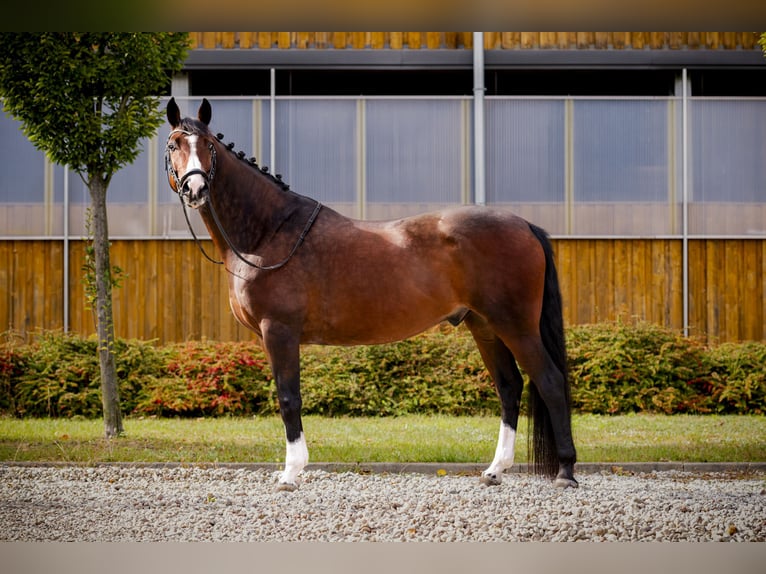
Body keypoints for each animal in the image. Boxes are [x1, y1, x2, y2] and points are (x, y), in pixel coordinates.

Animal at [164, 97, 578, 491]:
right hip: (485, 326)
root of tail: (525, 225)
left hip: (516, 325)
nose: (195, 189)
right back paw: (495, 470)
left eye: (209, 145)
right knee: (510, 387)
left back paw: (566, 472)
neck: (269, 232)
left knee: (550, 381)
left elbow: (288, 398)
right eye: (173, 144)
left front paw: (291, 473)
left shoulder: (278, 330)